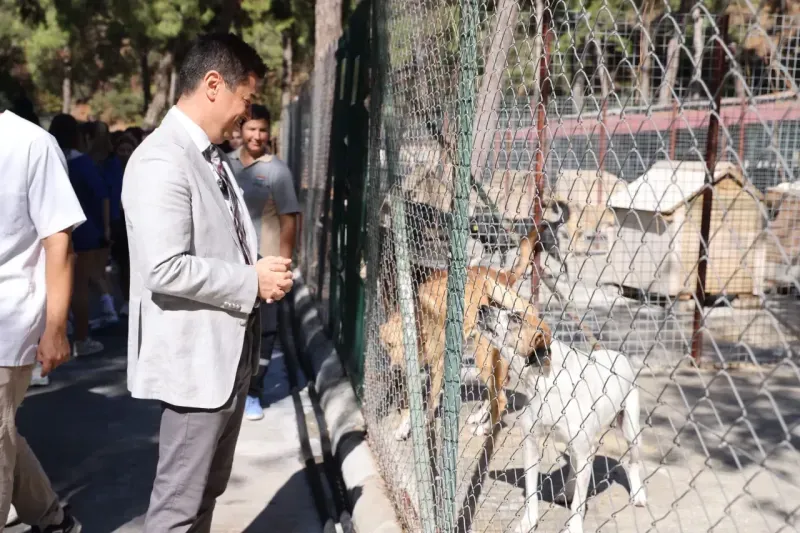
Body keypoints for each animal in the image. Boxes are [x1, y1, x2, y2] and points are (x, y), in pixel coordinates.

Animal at [380, 222, 552, 438]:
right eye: (389, 344)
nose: (395, 368)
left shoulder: (437, 365)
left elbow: (430, 402)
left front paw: (424, 423)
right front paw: (405, 426)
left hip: (482, 357)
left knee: (500, 398)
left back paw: (485, 428)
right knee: (497, 390)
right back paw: (478, 417)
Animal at [482, 306, 644, 532]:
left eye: (515, 318)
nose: (483, 308)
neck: (544, 381)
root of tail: (614, 353)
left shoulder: (584, 449)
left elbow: (579, 503)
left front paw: (574, 526)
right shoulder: (531, 444)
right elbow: (531, 494)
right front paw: (528, 521)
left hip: (631, 431)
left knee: (633, 464)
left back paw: (638, 494)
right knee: (574, 467)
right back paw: (567, 491)